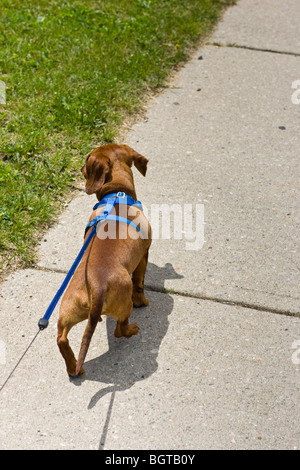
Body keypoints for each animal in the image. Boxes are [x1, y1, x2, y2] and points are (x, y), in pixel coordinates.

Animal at [56, 145, 151, 376]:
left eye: (86, 159)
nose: (80, 167)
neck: (116, 195)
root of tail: (97, 286)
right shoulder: (144, 255)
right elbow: (140, 283)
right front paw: (142, 301)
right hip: (124, 306)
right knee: (120, 330)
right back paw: (133, 329)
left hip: (68, 310)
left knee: (61, 338)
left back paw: (73, 367)